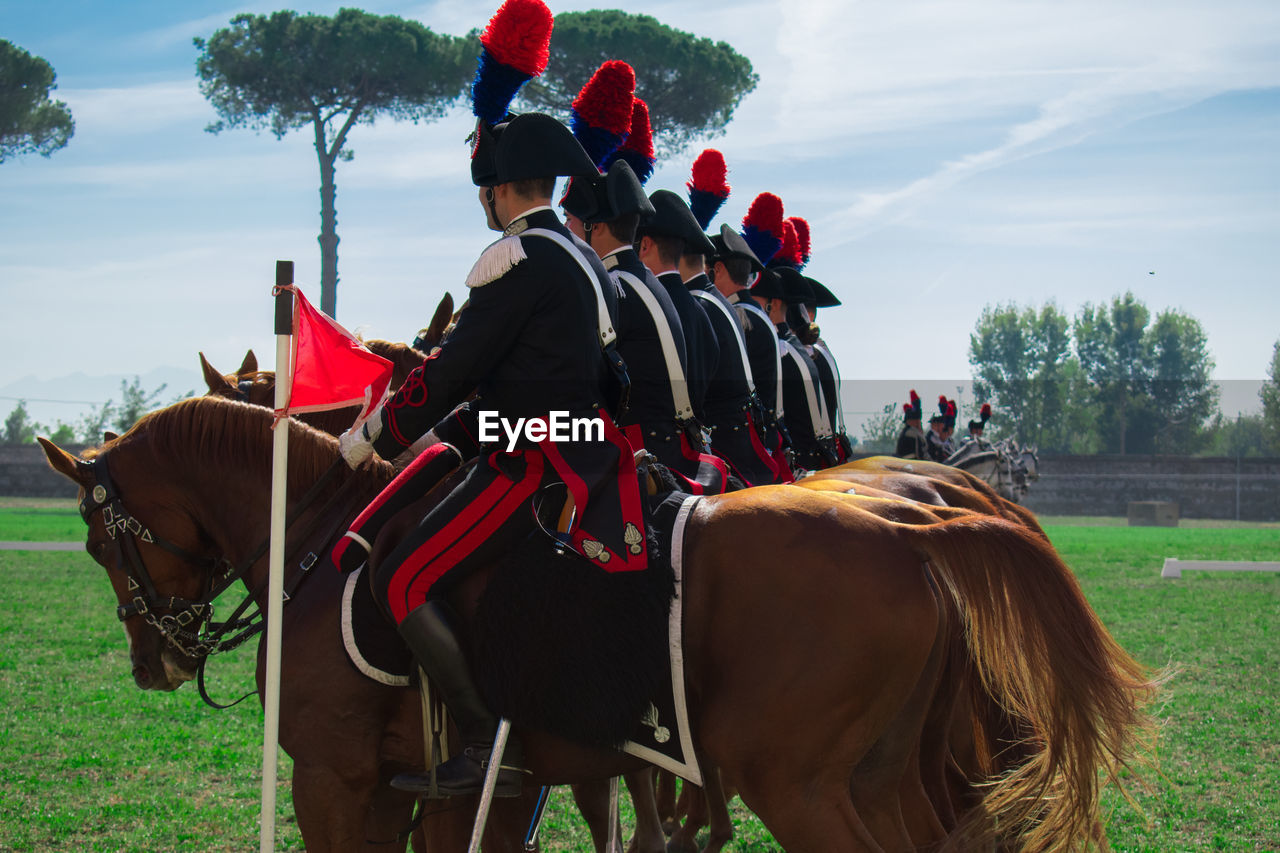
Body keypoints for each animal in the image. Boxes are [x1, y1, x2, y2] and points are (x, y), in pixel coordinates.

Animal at [40, 397, 1162, 850]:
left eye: (97, 540)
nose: (152, 659)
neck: (315, 531)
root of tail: (914, 530)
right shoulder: (452, 782)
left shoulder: (337, 777)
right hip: (883, 774)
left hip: (800, 784)